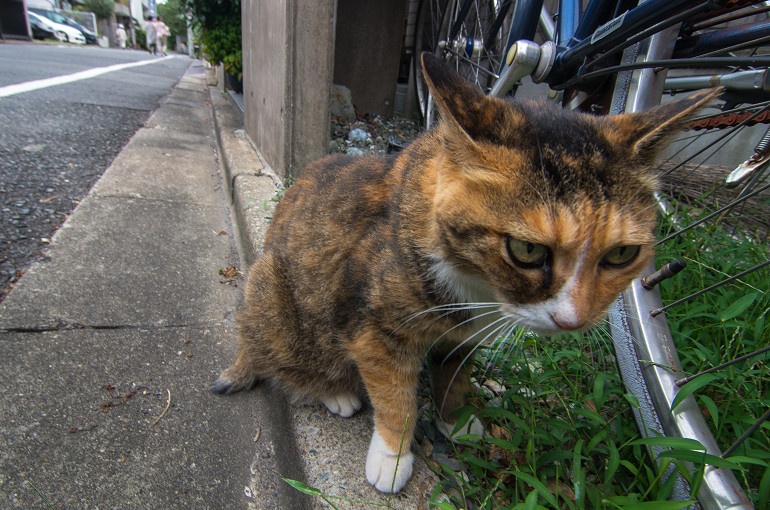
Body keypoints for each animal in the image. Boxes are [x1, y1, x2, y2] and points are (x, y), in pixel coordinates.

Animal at [208, 52, 712, 494]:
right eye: (526, 250)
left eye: (622, 253)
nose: (573, 321)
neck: (479, 285)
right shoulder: (375, 331)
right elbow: (395, 396)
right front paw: (393, 457)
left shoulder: (465, 337)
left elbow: (455, 379)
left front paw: (456, 421)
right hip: (271, 290)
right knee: (286, 363)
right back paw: (335, 392)